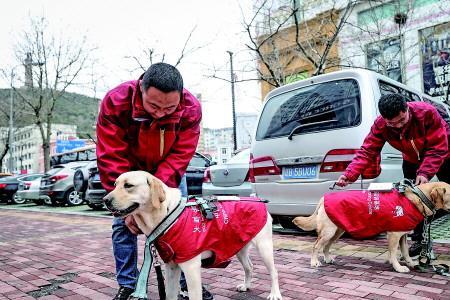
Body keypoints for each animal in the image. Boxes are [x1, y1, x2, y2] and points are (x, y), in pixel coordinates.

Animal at [104, 171, 284, 300]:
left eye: (128, 185)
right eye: (115, 184)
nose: (105, 200)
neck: (167, 214)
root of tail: (258, 200)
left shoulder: (191, 268)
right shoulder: (171, 266)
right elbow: (170, 295)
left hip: (264, 247)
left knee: (274, 272)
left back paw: (275, 294)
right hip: (238, 246)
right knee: (250, 267)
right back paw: (246, 286)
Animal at [292, 182, 450, 274]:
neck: (418, 198)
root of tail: (324, 197)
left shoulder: (403, 235)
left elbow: (405, 252)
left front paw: (411, 263)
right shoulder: (394, 234)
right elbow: (394, 253)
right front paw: (398, 267)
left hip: (337, 231)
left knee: (326, 246)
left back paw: (328, 258)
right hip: (328, 231)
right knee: (316, 246)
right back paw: (314, 262)